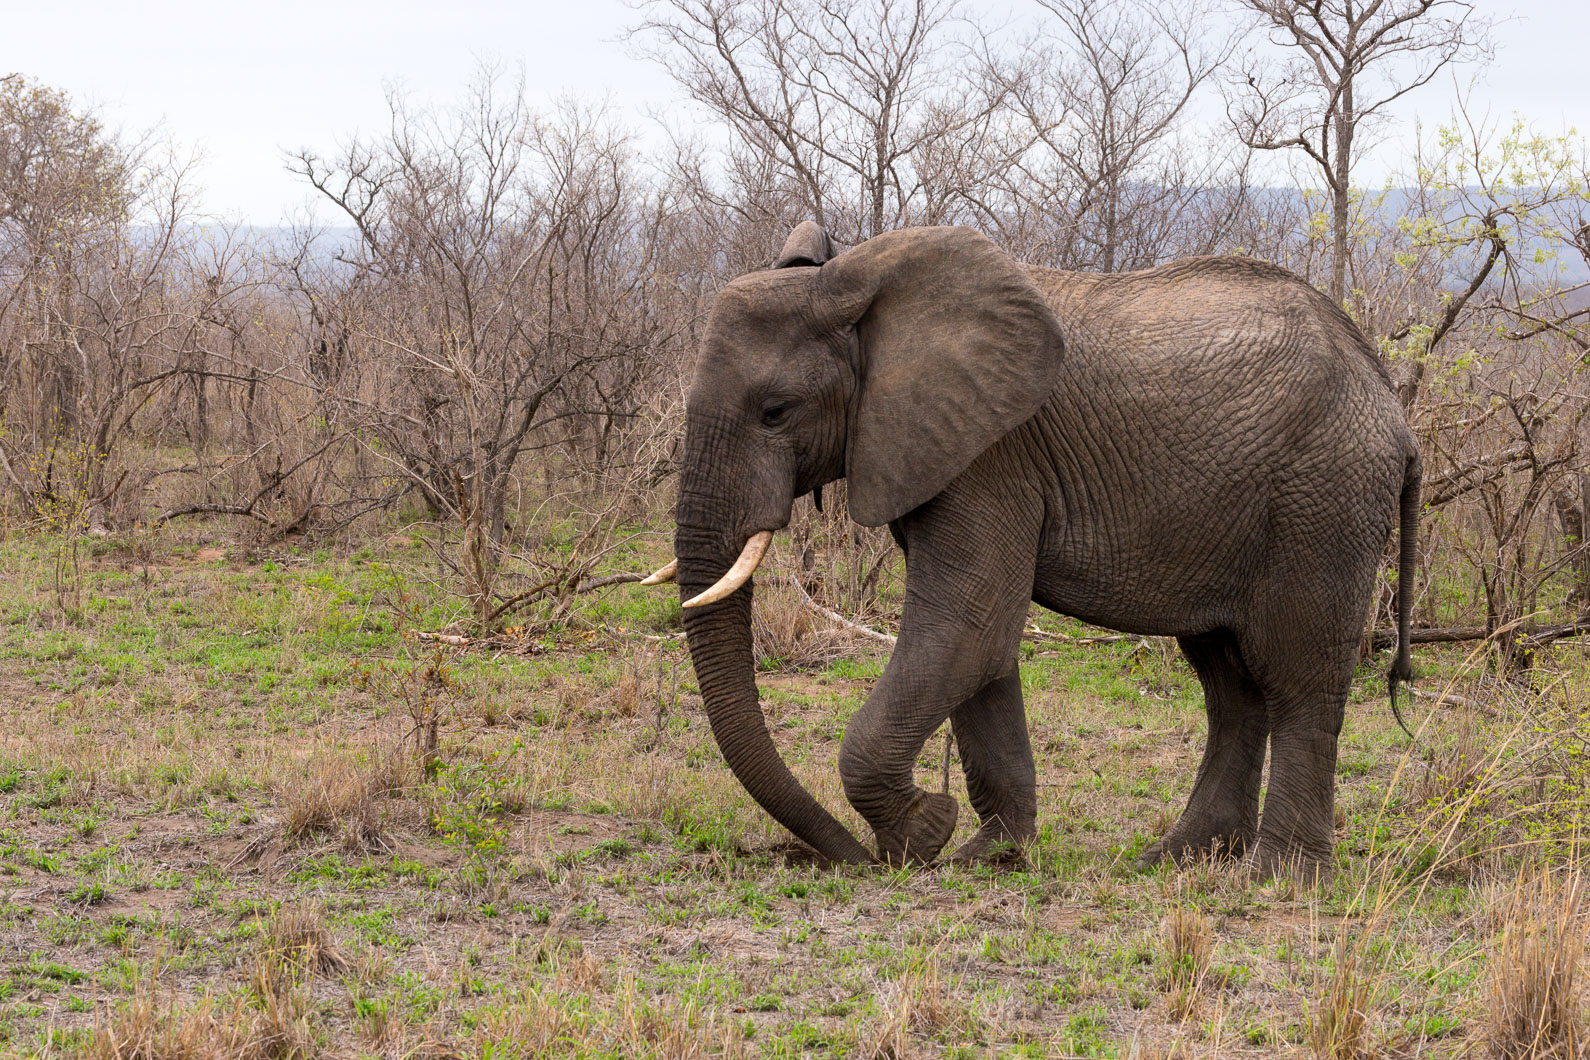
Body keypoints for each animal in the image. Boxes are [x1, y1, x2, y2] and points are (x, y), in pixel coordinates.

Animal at [641, 222, 1419, 880]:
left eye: (775, 412)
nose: (855, 860)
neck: (860, 285)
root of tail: (1389, 398)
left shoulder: (991, 457)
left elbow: (967, 629)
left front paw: (925, 834)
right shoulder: (950, 452)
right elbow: (981, 645)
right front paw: (987, 854)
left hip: (1325, 498)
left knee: (1298, 677)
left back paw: (1278, 877)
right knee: (1229, 683)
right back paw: (1180, 858)